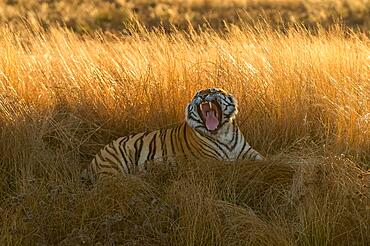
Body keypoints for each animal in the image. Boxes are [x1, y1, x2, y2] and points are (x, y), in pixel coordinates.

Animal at [84, 87, 264, 182]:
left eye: (213, 91)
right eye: (197, 94)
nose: (203, 95)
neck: (222, 132)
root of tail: (93, 160)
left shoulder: (250, 152)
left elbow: (264, 160)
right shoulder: (210, 162)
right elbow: (234, 165)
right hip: (114, 166)